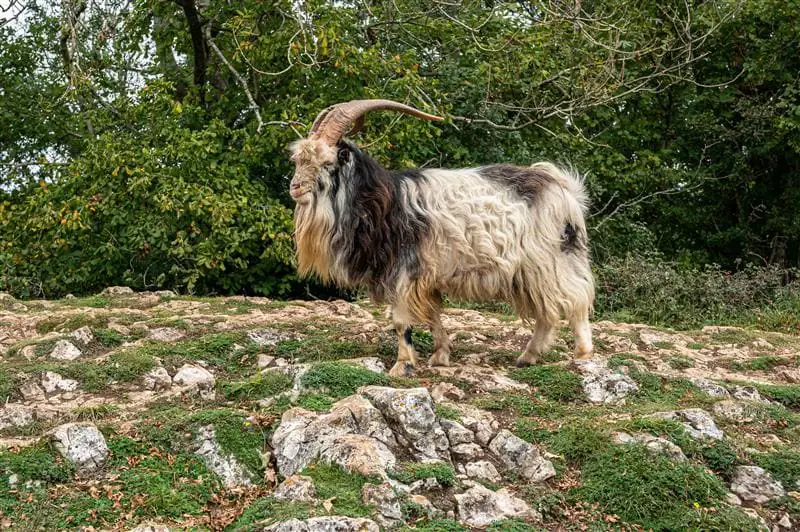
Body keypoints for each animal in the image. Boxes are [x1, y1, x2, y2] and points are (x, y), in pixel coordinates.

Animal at [289, 99, 594, 377]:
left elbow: (401, 320)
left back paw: (582, 354)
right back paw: (528, 357)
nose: (295, 187)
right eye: (298, 160)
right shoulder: (426, 276)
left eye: (327, 162)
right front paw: (440, 356)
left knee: (574, 299)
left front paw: (402, 366)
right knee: (547, 311)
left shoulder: (403, 270)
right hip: (529, 272)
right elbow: (434, 314)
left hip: (550, 260)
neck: (382, 203)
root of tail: (565, 189)